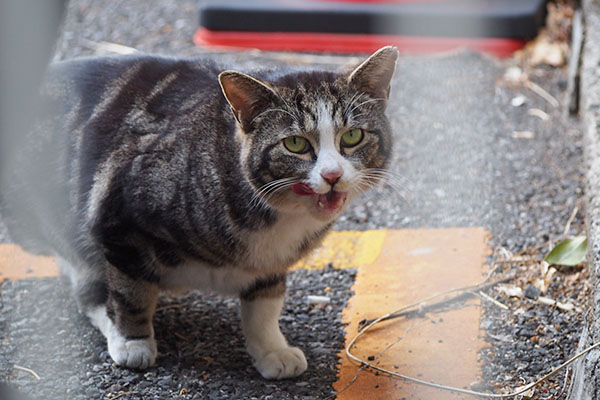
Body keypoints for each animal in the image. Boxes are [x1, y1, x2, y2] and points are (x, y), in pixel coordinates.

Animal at [0, 46, 398, 378]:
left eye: (352, 137)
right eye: (296, 144)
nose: (332, 175)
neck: (281, 215)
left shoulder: (271, 263)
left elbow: (265, 305)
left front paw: (271, 349)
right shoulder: (120, 216)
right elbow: (131, 290)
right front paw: (133, 341)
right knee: (89, 283)